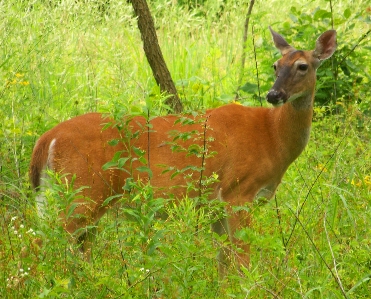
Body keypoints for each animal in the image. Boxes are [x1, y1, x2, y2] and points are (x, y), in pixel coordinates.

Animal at [29, 27, 338, 278]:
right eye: (275, 65)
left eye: (302, 66)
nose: (274, 95)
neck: (272, 136)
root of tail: (47, 139)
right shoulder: (239, 191)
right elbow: (242, 262)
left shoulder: (216, 206)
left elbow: (223, 263)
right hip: (82, 192)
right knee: (39, 243)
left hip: (57, 195)